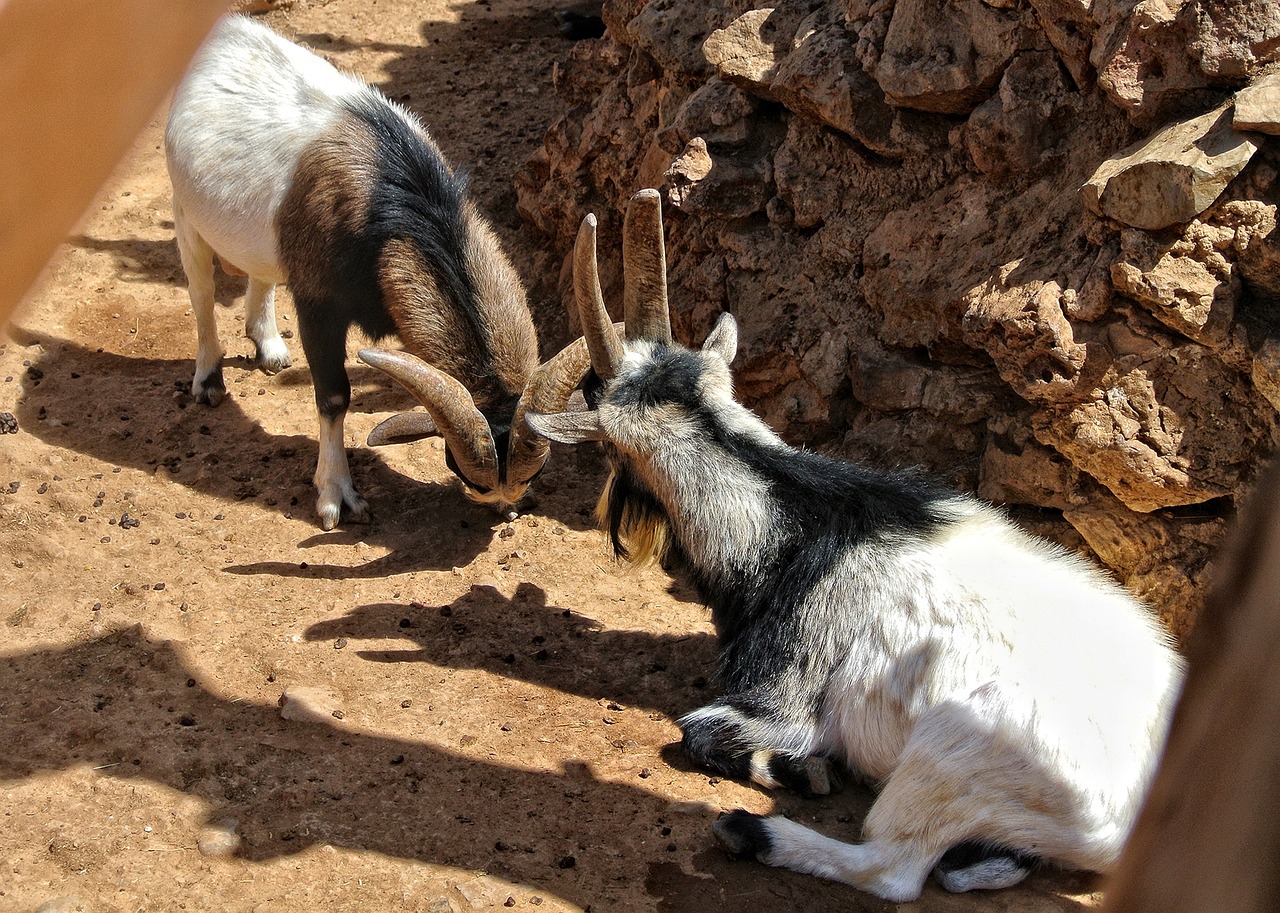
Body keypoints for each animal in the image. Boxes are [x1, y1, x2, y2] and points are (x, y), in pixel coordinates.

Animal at [162, 14, 586, 527]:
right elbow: (333, 397)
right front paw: (336, 495)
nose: (505, 512)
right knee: (202, 292)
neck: (396, 206)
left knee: (259, 271)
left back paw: (269, 347)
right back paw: (208, 379)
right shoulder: (317, 303)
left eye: (533, 475)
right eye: (470, 477)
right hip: (185, 209)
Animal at [524, 188, 1182, 901]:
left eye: (610, 449)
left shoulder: (783, 694)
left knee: (893, 867)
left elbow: (701, 731)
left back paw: (756, 832)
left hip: (955, 747)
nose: (616, 528)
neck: (790, 522)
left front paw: (795, 769)